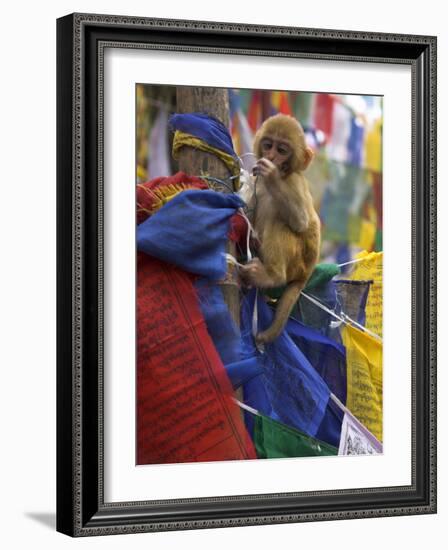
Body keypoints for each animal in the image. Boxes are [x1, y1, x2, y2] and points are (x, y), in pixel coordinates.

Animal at [240, 113, 320, 342]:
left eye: (282, 150)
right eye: (268, 145)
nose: (271, 156)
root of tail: (306, 273)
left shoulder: (294, 181)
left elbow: (301, 221)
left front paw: (272, 175)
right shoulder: (256, 183)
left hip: (297, 263)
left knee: (280, 221)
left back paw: (273, 276)